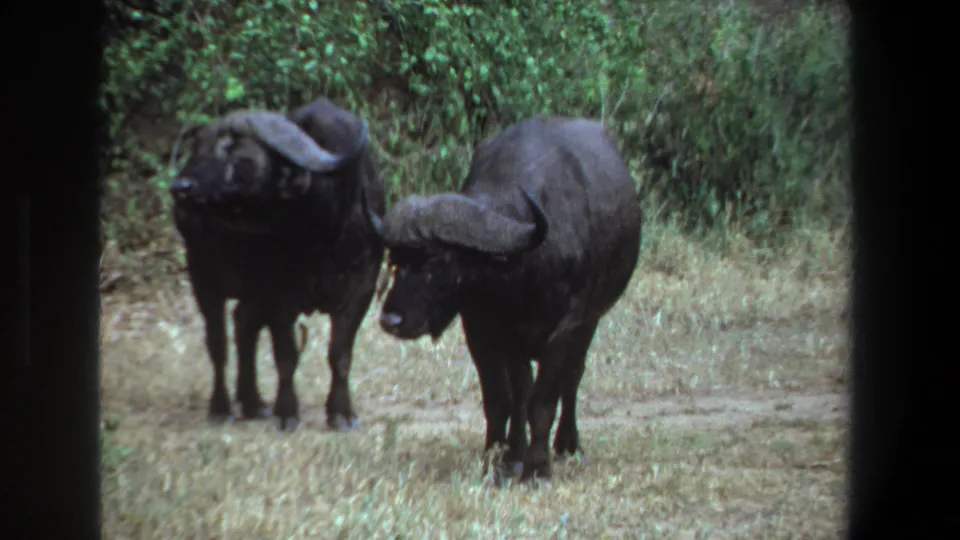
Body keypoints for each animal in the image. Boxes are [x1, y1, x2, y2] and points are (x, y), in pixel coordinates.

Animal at [169, 98, 386, 432]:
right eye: (198, 147)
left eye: (234, 152)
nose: (180, 185)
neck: (322, 231)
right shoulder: (277, 293)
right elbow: (286, 355)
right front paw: (288, 412)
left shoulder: (362, 286)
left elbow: (340, 354)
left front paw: (341, 413)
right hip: (202, 274)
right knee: (218, 344)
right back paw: (222, 407)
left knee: (243, 324)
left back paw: (252, 401)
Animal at [362, 116, 643, 481]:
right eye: (395, 261)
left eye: (437, 260)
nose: (391, 320)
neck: (521, 270)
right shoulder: (487, 332)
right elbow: (503, 399)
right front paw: (502, 460)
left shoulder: (567, 327)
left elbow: (543, 399)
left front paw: (538, 467)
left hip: (590, 321)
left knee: (572, 377)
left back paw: (568, 445)